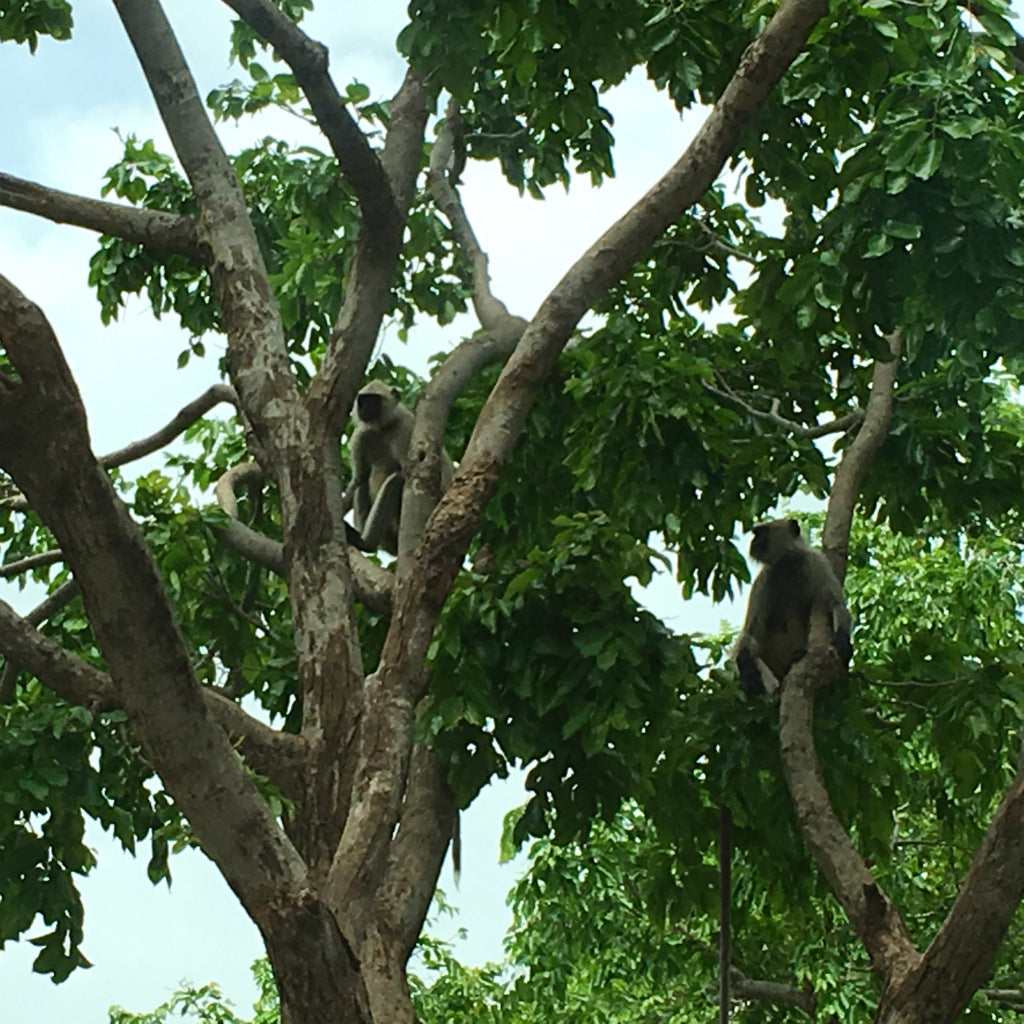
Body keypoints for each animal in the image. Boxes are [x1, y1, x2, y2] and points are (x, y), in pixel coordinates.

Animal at [346, 378, 454, 557]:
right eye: (362, 401)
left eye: (373, 400)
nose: (363, 408)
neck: (383, 428)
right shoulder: (361, 436)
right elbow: (358, 479)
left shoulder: (402, 431)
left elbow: (409, 473)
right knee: (363, 483)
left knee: (397, 480)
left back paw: (366, 544)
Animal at [733, 516, 851, 700]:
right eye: (756, 533)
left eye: (762, 533)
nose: (754, 541)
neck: (787, 562)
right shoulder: (764, 579)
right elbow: (750, 632)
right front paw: (747, 670)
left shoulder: (816, 562)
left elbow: (836, 604)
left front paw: (843, 640)